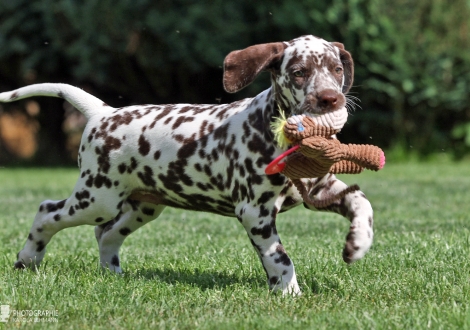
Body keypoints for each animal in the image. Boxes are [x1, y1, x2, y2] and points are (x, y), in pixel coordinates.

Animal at [0, 34, 374, 296]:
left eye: (337, 70)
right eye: (299, 72)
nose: (331, 99)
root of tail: (102, 113)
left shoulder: (321, 189)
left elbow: (363, 203)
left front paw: (358, 244)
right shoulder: (255, 212)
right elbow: (279, 257)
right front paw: (289, 291)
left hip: (143, 207)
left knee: (106, 235)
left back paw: (112, 273)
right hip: (97, 198)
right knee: (48, 212)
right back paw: (28, 259)